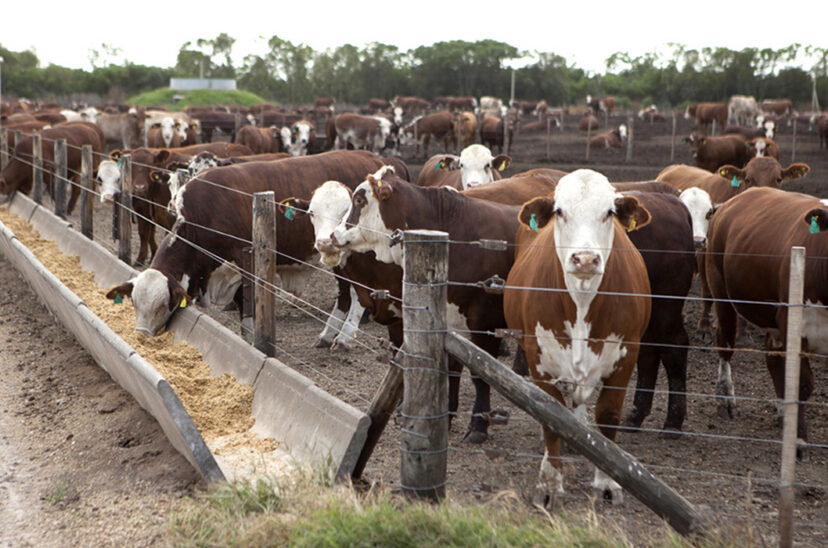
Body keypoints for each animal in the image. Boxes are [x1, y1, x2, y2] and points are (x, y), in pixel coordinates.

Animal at [104, 150, 388, 338]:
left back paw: (344, 333)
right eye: (134, 303)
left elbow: (249, 313)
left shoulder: (247, 256)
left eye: (163, 305)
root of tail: (373, 160)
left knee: (353, 291)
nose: (141, 334)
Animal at [326, 166, 520, 440]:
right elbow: (450, 371)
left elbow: (480, 377)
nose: (334, 235)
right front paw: (446, 416)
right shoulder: (448, 322)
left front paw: (478, 425)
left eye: (359, 201)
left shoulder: (484, 323)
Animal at [504, 168, 652, 506]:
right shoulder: (539, 358)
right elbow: (550, 417)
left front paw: (607, 482)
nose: (585, 259)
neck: (582, 302)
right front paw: (549, 483)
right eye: (560, 211)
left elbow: (608, 415)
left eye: (609, 212)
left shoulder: (626, 356)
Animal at [700, 186, 824, 448]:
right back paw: (725, 399)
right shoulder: (794, 325)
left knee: (773, 358)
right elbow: (802, 383)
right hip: (722, 295)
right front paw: (799, 441)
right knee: (725, 344)